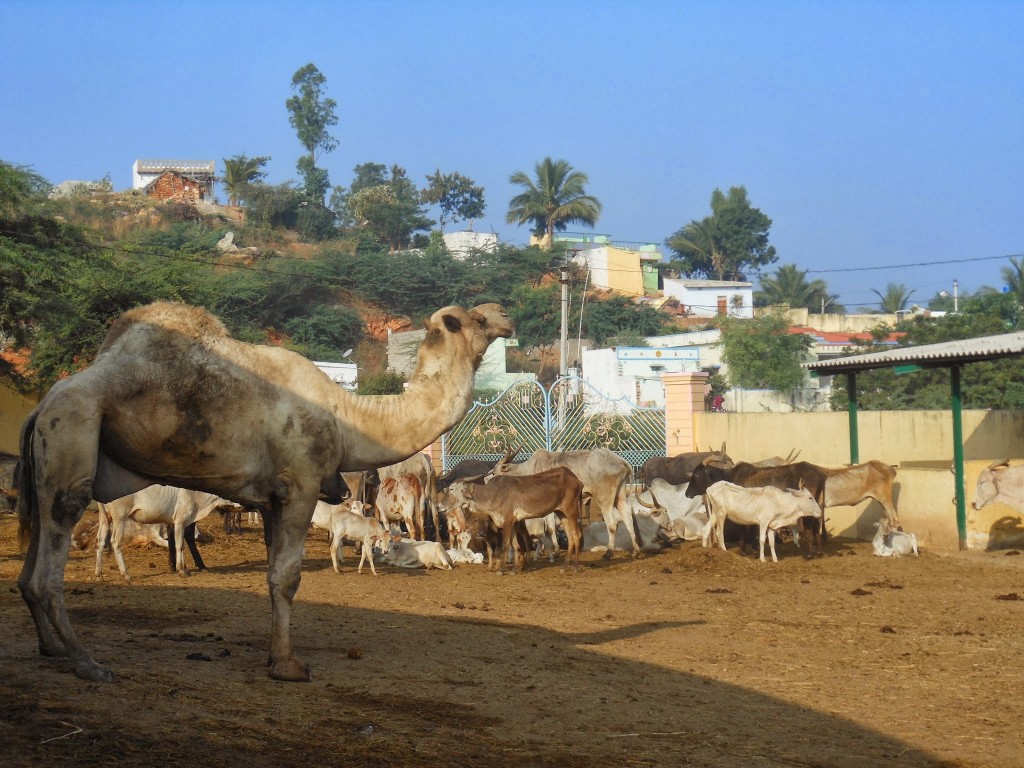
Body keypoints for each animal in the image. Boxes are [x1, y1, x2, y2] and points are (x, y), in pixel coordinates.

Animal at [16, 296, 512, 684]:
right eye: (473, 319)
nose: (505, 314)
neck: (346, 416)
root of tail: (42, 406)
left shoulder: (272, 500)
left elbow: (274, 575)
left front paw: (275, 656)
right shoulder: (299, 487)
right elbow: (287, 577)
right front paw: (289, 666)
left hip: (47, 463)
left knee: (30, 562)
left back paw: (51, 648)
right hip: (73, 432)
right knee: (50, 563)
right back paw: (86, 662)